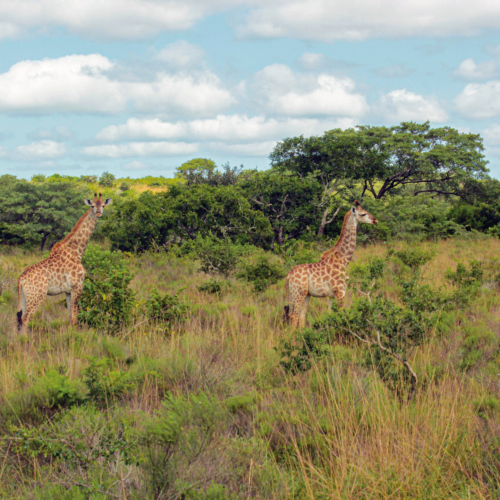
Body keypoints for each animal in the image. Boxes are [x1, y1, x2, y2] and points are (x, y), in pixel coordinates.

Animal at [16, 193, 111, 334]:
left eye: (103, 205)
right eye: (93, 206)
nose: (99, 213)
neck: (77, 251)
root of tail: (21, 279)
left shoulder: (68, 290)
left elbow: (70, 317)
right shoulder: (78, 286)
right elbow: (75, 317)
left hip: (24, 296)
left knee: (20, 318)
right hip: (36, 296)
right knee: (26, 319)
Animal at [284, 199, 376, 328]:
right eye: (363, 214)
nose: (375, 220)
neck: (343, 260)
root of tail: (288, 276)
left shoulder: (332, 295)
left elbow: (330, 315)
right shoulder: (340, 292)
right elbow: (340, 315)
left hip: (306, 294)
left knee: (302, 315)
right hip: (298, 293)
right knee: (294, 315)